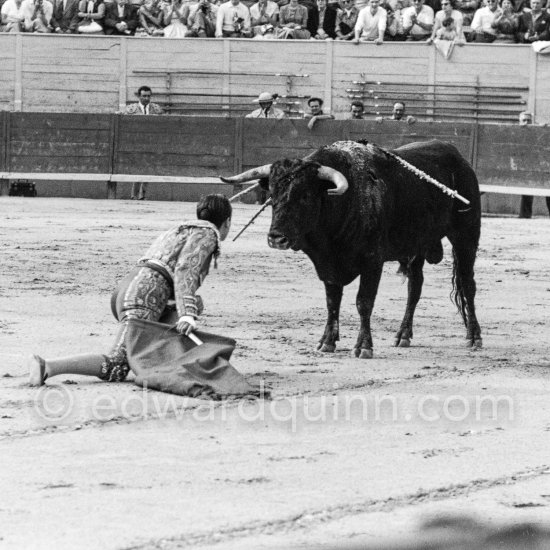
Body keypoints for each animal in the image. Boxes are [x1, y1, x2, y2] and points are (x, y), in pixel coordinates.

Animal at [222, 140, 486, 360]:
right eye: (273, 195)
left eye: (305, 195)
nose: (276, 238)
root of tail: (459, 158)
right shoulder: (327, 265)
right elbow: (332, 302)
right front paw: (327, 342)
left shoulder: (372, 261)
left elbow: (363, 302)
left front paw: (363, 347)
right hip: (417, 245)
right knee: (415, 287)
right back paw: (403, 335)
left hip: (466, 236)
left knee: (467, 284)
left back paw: (474, 337)